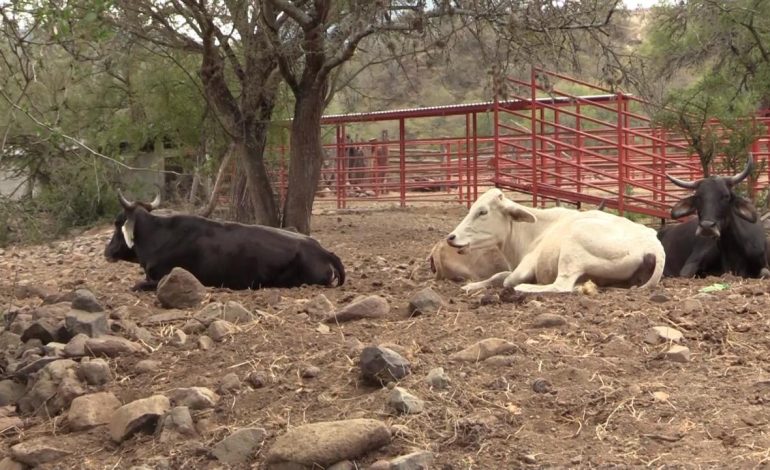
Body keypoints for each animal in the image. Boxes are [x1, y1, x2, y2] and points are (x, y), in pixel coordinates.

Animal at [103, 192, 344, 290]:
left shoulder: (160, 278)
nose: (107, 251)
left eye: (117, 222)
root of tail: (321, 249)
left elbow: (136, 285)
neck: (159, 236)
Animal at [448, 188, 664, 292]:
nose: (451, 237)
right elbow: (497, 276)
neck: (536, 231)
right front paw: (470, 286)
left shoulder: (527, 265)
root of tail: (654, 245)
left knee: (562, 286)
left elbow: (507, 279)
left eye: (483, 212)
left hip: (572, 249)